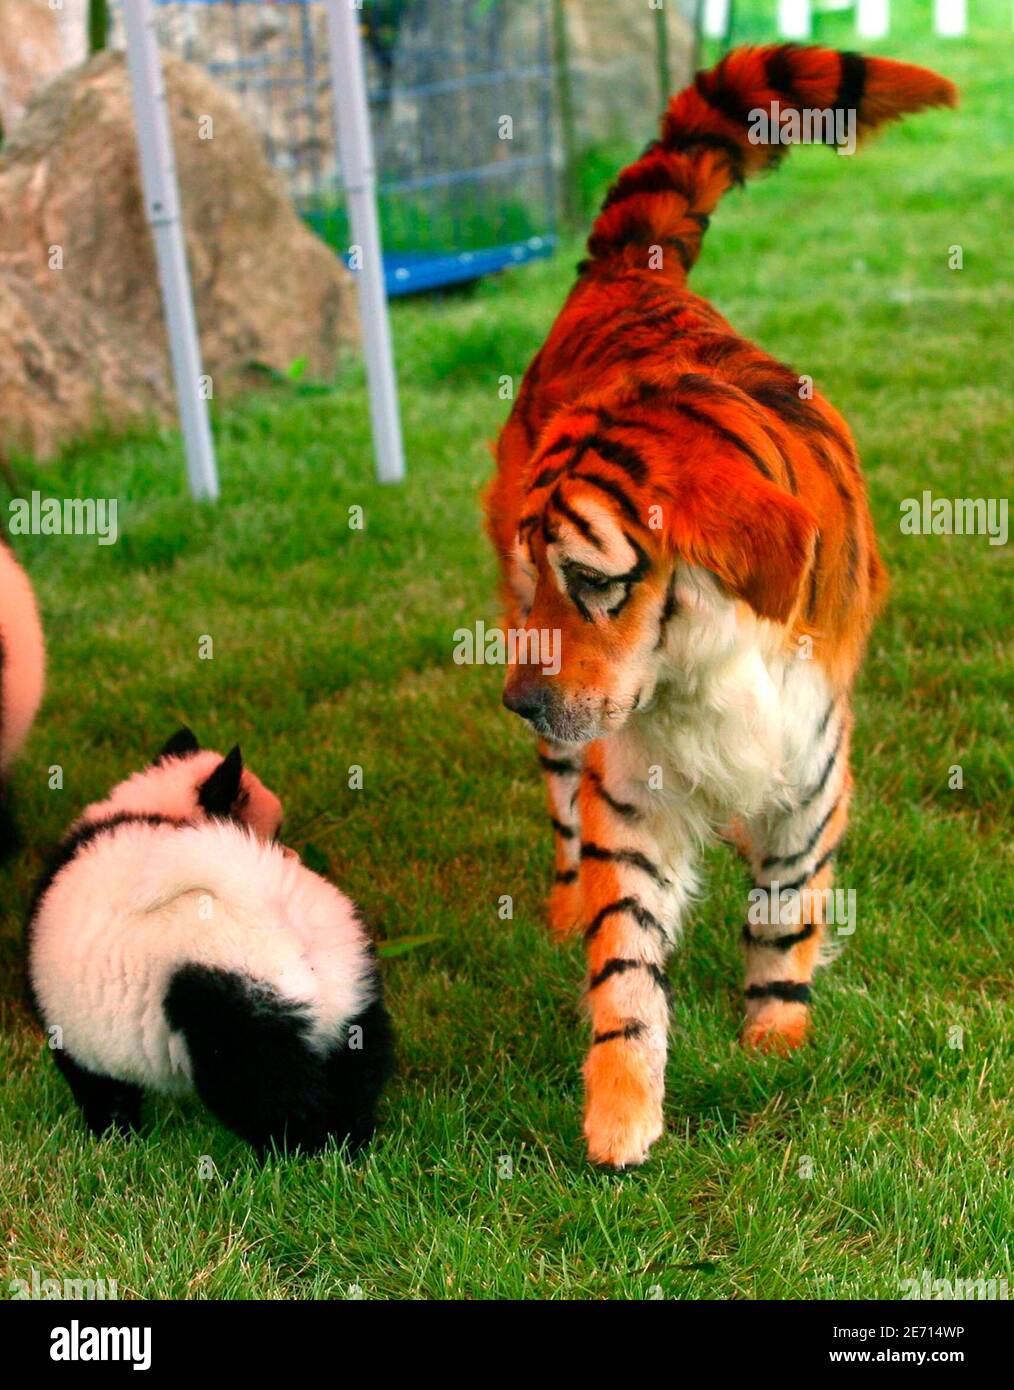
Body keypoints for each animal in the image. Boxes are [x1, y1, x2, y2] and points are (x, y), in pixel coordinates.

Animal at [26, 728, 394, 1156]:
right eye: (275, 833)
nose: (291, 855)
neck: (156, 806)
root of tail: (268, 904)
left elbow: (101, 1089)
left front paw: (114, 1138)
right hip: (348, 993)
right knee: (357, 1073)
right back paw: (350, 1147)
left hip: (235, 1016)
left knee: (274, 1100)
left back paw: (294, 1158)